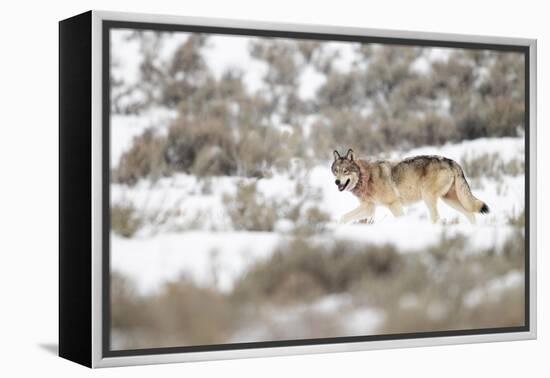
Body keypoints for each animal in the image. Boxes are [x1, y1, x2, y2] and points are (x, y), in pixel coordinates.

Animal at [332, 148, 492, 224]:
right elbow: (343, 218)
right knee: (470, 214)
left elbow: (401, 218)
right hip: (449, 200)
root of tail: (451, 161)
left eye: (345, 171)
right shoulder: (369, 208)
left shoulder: (393, 204)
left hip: (429, 198)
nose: (337, 182)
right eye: (336, 171)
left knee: (437, 219)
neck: (365, 177)